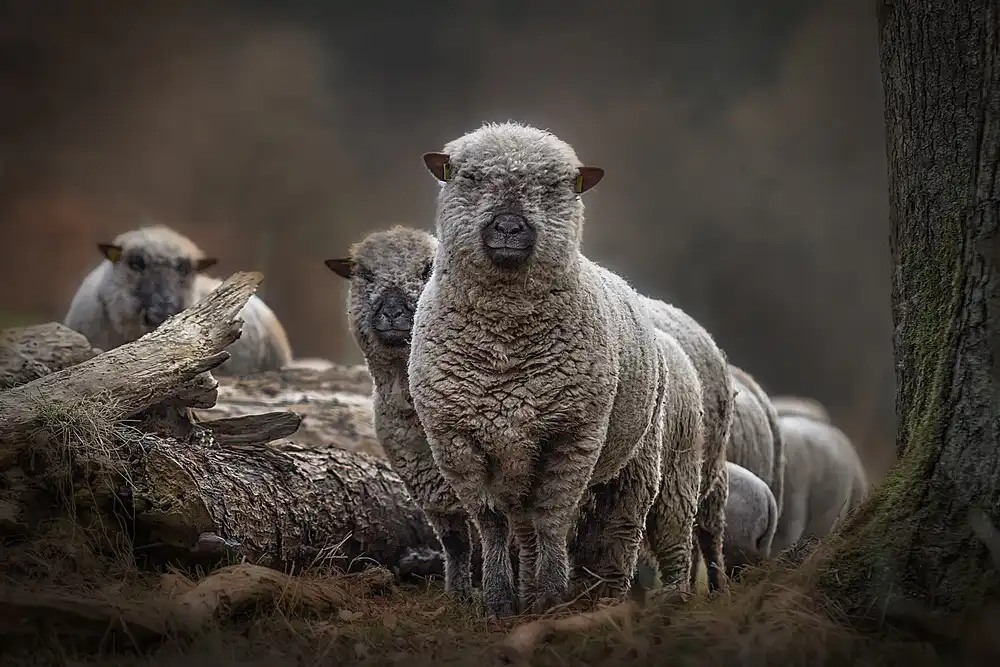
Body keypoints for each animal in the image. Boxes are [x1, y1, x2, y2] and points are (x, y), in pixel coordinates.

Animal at [323, 225, 476, 600]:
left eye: (427, 270)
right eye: (365, 274)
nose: (392, 312)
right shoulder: (430, 489)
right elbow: (456, 544)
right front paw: (458, 596)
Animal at [409, 121, 687, 618]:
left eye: (554, 187)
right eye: (471, 178)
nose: (508, 226)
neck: (504, 346)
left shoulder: (574, 435)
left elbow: (553, 519)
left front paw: (555, 597)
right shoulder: (455, 440)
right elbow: (493, 524)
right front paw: (499, 601)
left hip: (637, 460)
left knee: (623, 527)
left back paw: (607, 596)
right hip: (517, 465)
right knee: (522, 529)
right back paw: (527, 592)